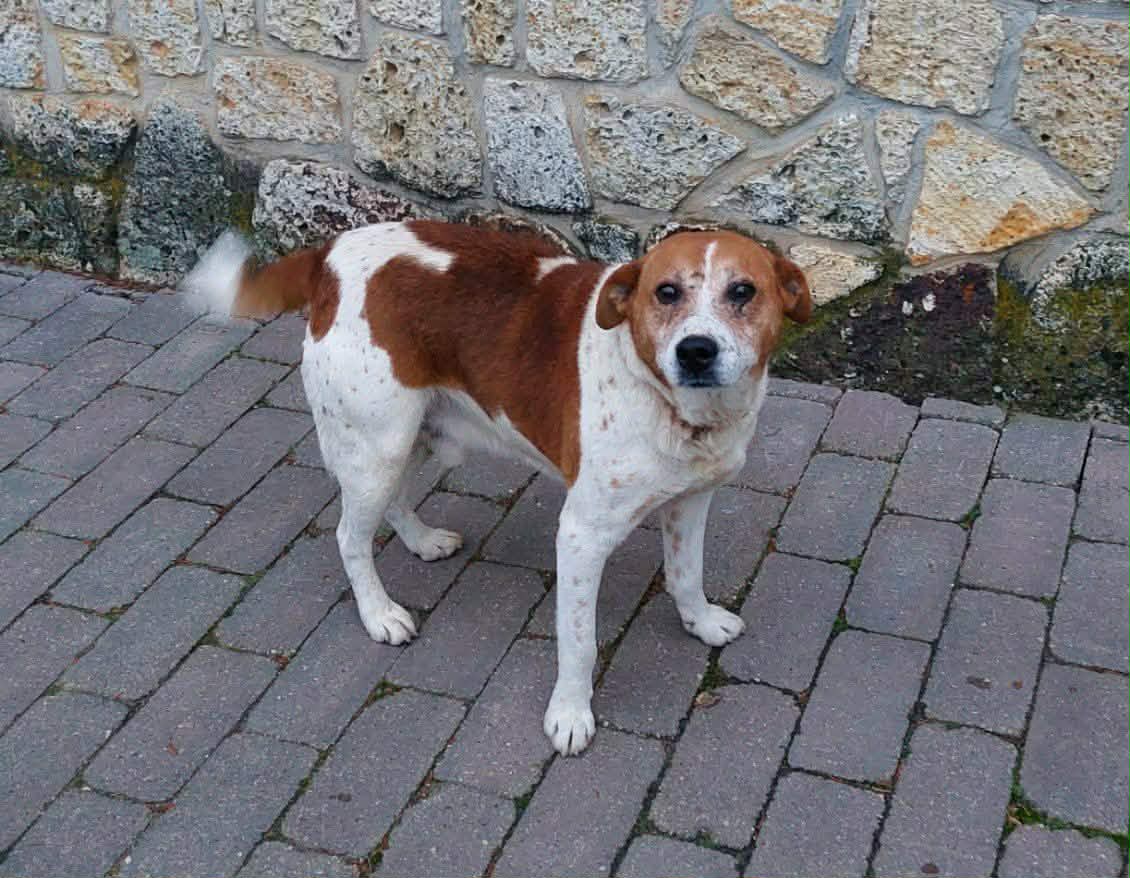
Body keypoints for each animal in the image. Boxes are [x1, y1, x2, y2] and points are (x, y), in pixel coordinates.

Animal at [185, 220, 811, 755]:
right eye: (666, 293)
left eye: (742, 291)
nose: (696, 351)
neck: (676, 407)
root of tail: (330, 254)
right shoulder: (582, 534)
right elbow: (579, 641)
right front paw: (570, 714)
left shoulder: (691, 500)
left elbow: (686, 575)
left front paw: (700, 621)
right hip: (377, 444)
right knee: (348, 536)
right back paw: (379, 613)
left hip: (422, 435)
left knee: (396, 502)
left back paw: (422, 541)